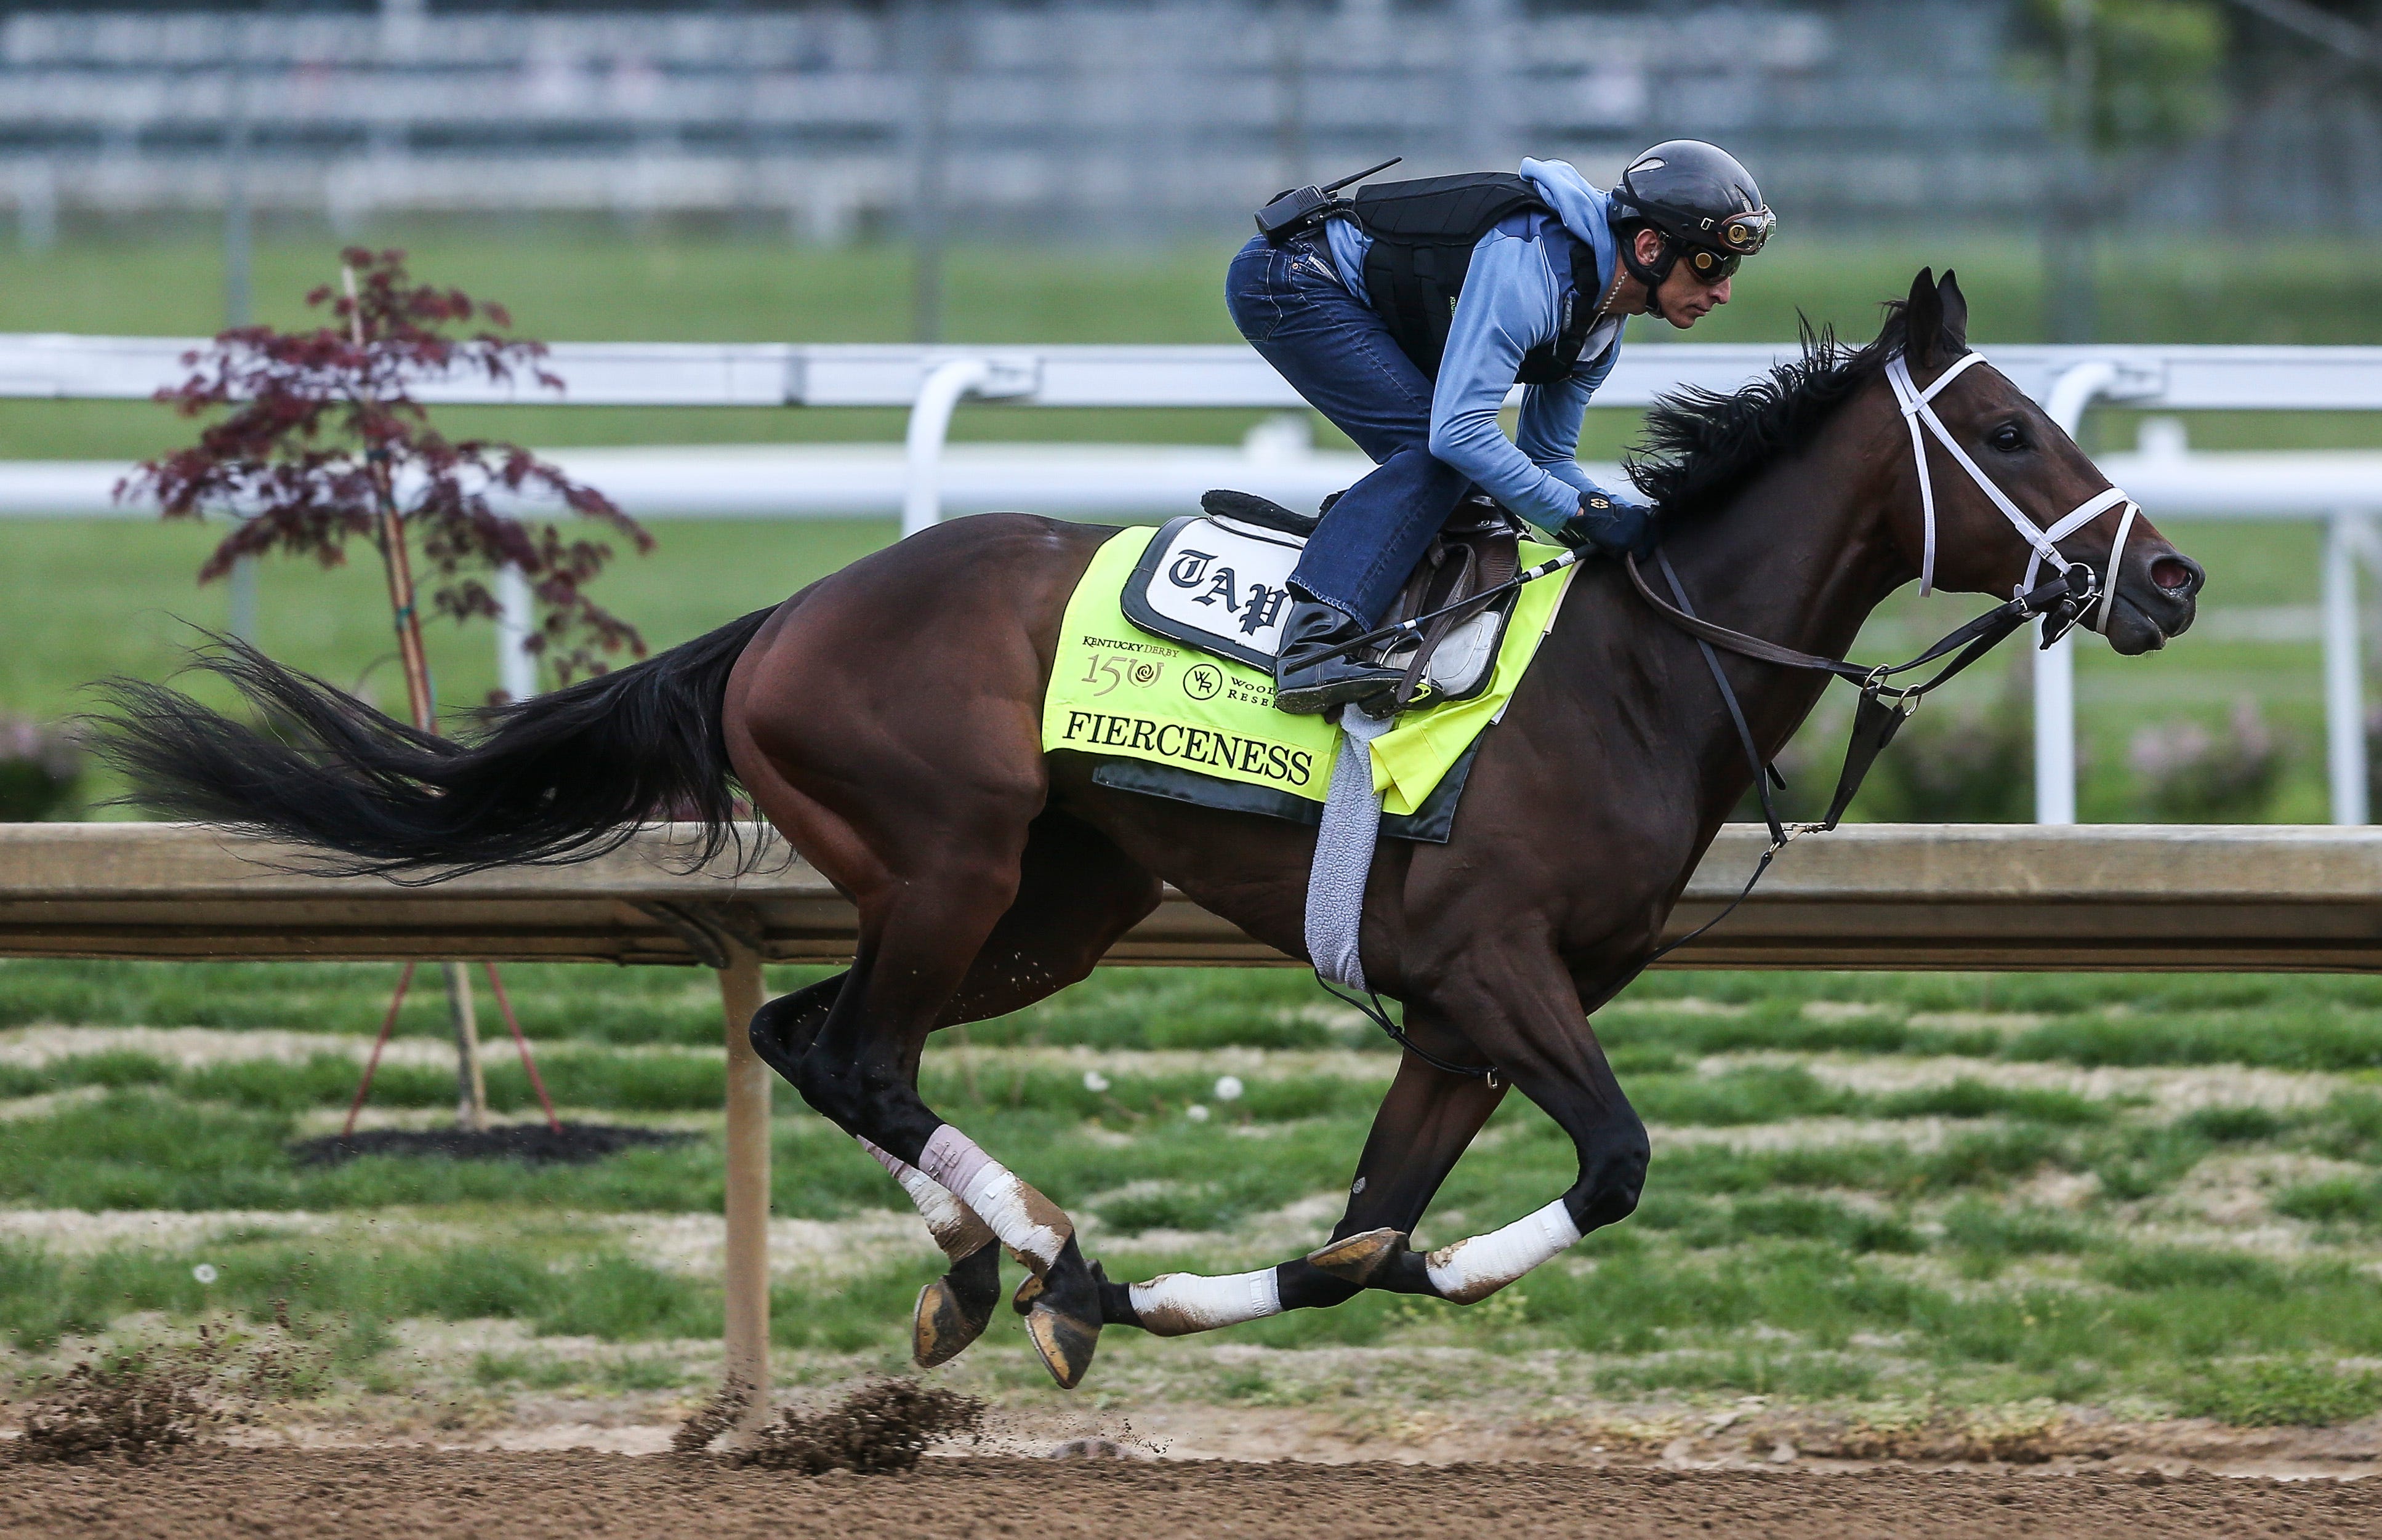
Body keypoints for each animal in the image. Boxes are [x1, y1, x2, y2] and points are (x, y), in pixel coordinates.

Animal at [102, 271, 2200, 1390]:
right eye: (2006, 433)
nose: (2169, 581)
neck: (1634, 666)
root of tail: (782, 616)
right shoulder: (1494, 968)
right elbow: (1602, 1168)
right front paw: (1166, 1281)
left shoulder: (1457, 1017)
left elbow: (1363, 1232)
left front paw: (1210, 1290)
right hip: (953, 865)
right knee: (855, 1048)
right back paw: (1032, 1248)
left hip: (1057, 903)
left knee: (804, 1033)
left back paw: (994, 1268)